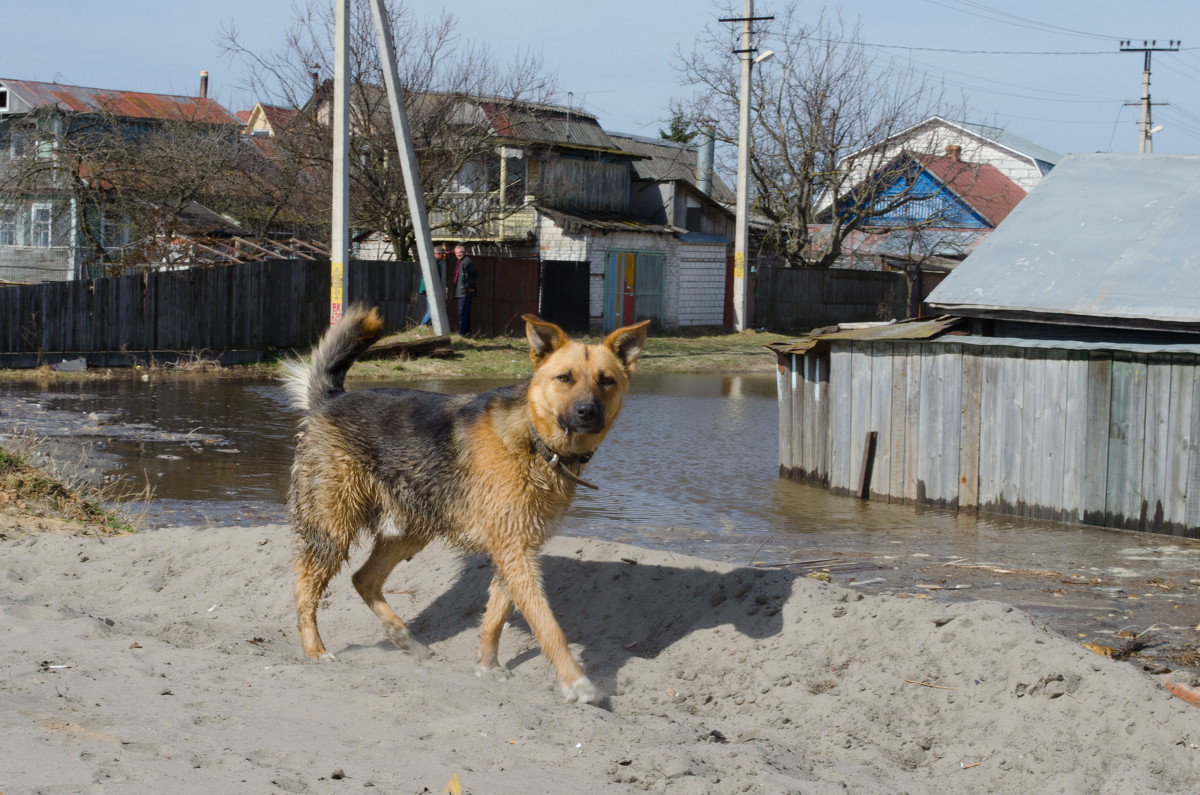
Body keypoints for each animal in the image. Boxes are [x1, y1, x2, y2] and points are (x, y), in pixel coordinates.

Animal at [283, 305, 648, 706]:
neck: (536, 442)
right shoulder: (515, 551)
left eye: (606, 381)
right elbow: (547, 625)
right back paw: (315, 650)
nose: (587, 412)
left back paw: (403, 638)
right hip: (332, 529)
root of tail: (330, 400)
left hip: (409, 532)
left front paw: (487, 666)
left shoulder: (516, 548)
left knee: (363, 578)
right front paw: (576, 681)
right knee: (304, 590)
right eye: (564, 378)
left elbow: (495, 618)